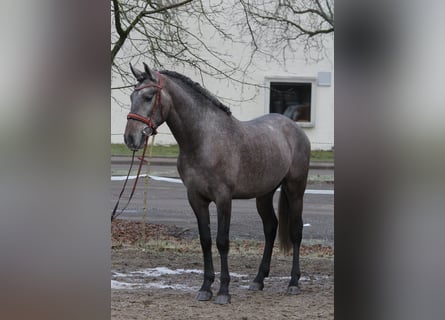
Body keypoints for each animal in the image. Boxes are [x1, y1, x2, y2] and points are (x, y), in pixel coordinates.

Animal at [121, 63, 308, 304]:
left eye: (148, 96)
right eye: (132, 96)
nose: (130, 138)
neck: (203, 140)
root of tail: (293, 127)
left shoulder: (223, 198)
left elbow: (222, 241)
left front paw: (223, 292)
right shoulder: (196, 198)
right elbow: (205, 240)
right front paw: (205, 288)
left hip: (296, 189)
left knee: (295, 231)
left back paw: (293, 283)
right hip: (264, 194)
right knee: (270, 228)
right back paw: (258, 280)